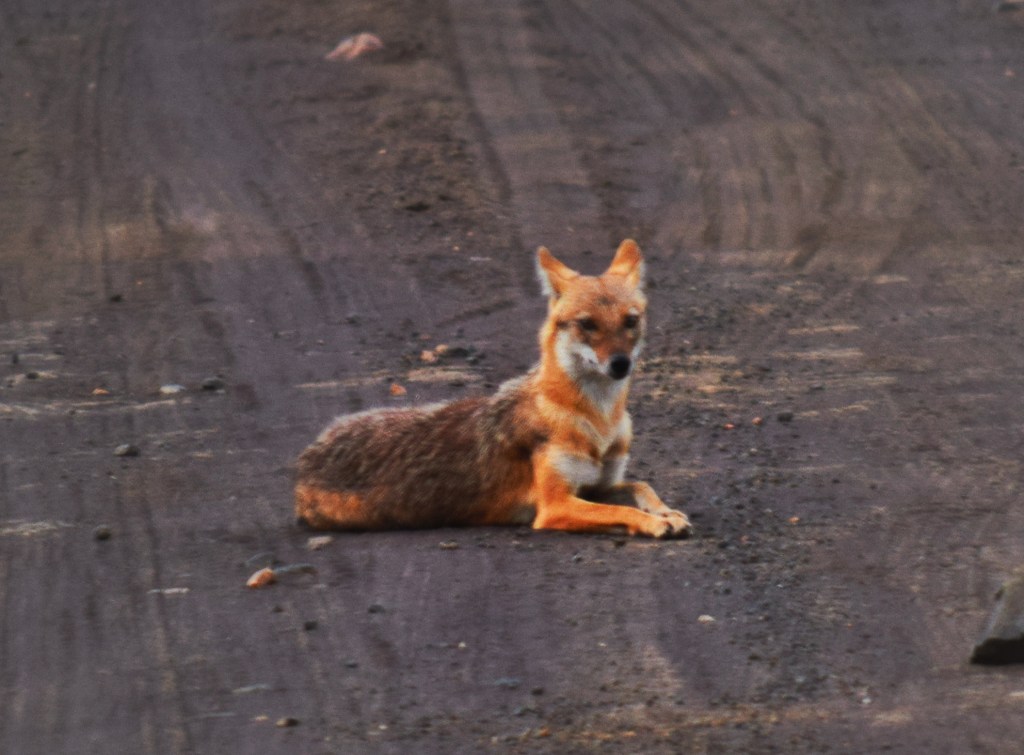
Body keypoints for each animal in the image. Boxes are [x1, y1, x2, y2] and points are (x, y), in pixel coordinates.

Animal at [294, 239, 692, 539]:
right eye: (588, 324)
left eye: (630, 322)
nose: (620, 364)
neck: (600, 419)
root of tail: (308, 455)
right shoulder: (555, 507)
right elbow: (621, 512)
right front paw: (655, 522)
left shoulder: (600, 485)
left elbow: (641, 486)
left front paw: (667, 511)